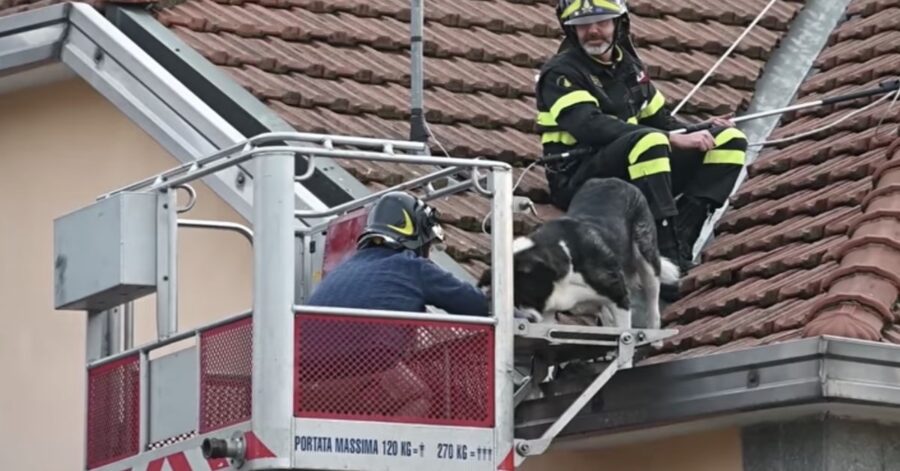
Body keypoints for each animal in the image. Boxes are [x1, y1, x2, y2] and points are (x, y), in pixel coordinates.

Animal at [482, 179, 680, 338]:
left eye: (521, 296)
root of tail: (612, 179)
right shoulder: (548, 318)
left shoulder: (619, 297)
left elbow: (624, 333)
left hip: (646, 255)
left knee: (653, 300)